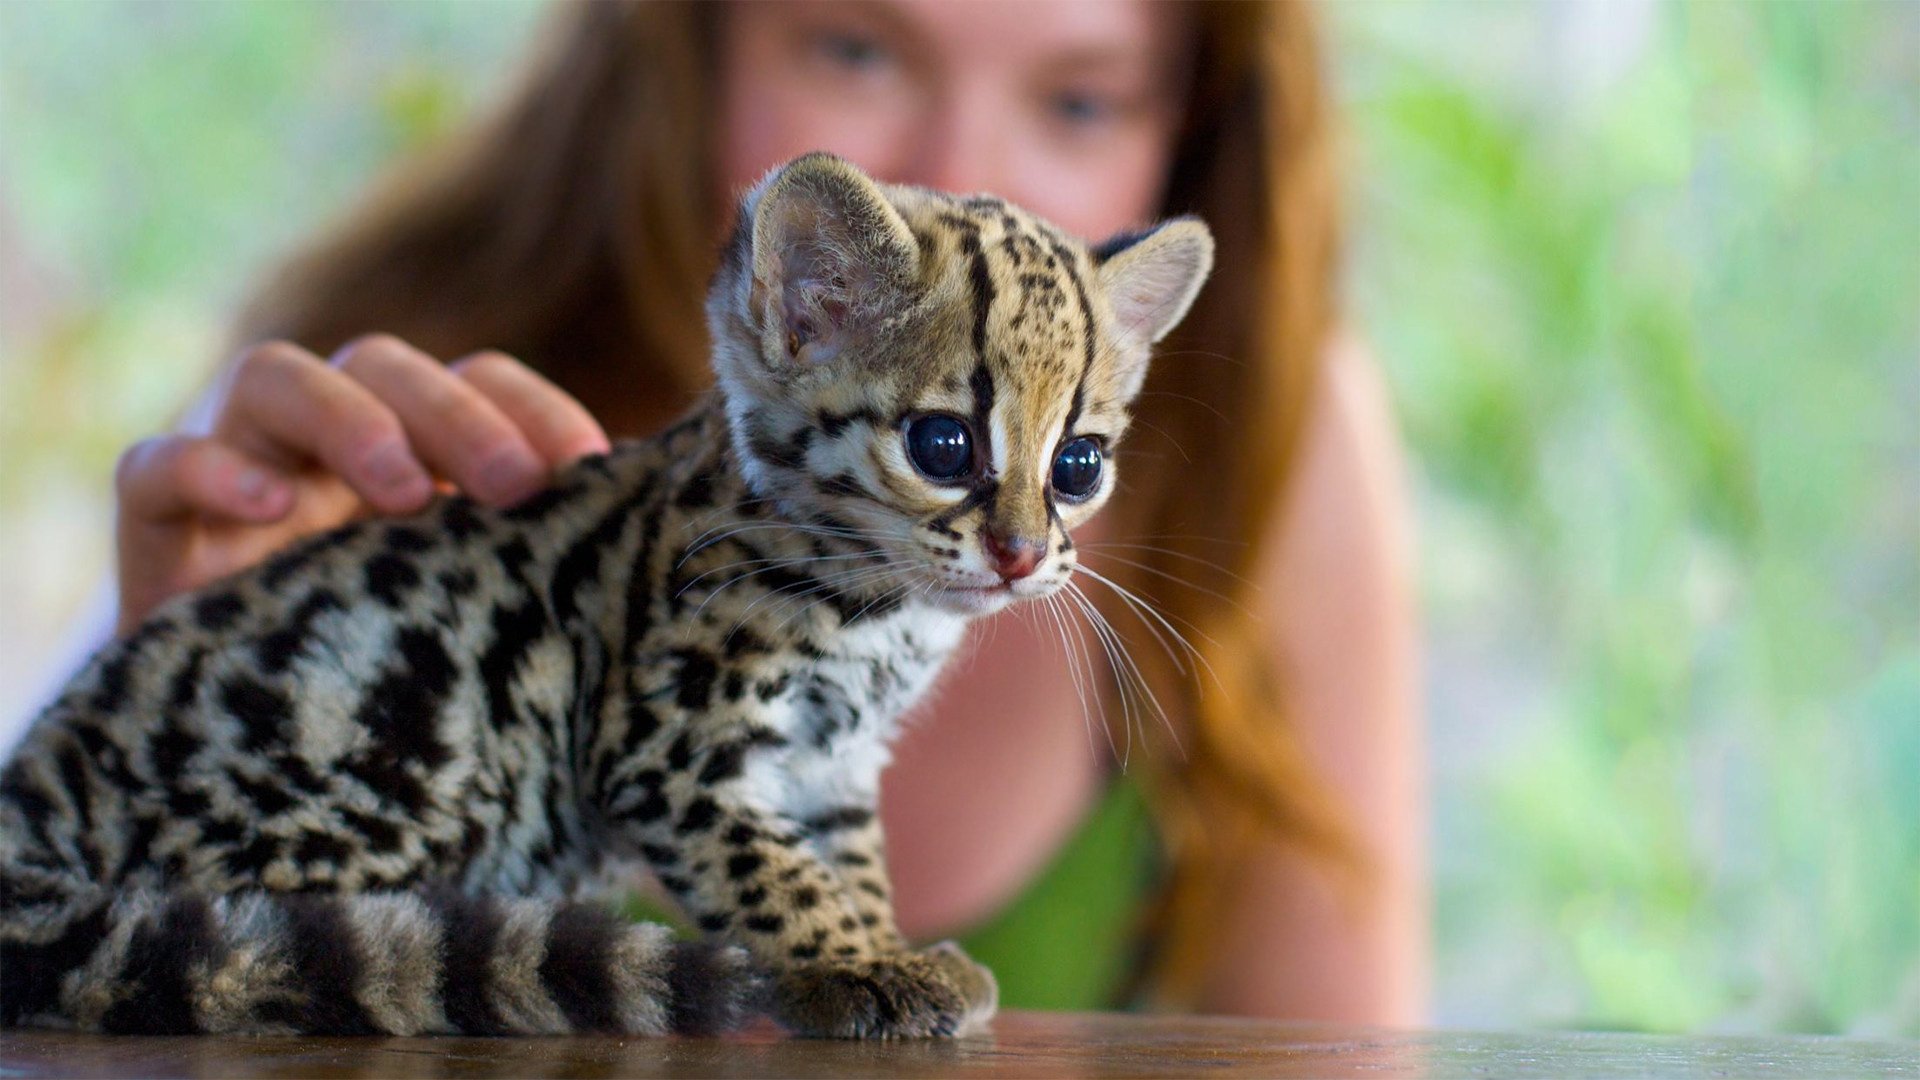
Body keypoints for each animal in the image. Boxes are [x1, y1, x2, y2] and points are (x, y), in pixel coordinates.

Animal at [0, 151, 1205, 1037]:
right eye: (944, 446)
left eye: (1079, 466)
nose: (1021, 556)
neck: (881, 617)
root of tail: (34, 798)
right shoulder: (667, 750)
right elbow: (772, 870)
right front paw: (852, 965)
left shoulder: (836, 763)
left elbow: (848, 858)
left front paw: (880, 941)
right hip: (396, 755)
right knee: (242, 936)